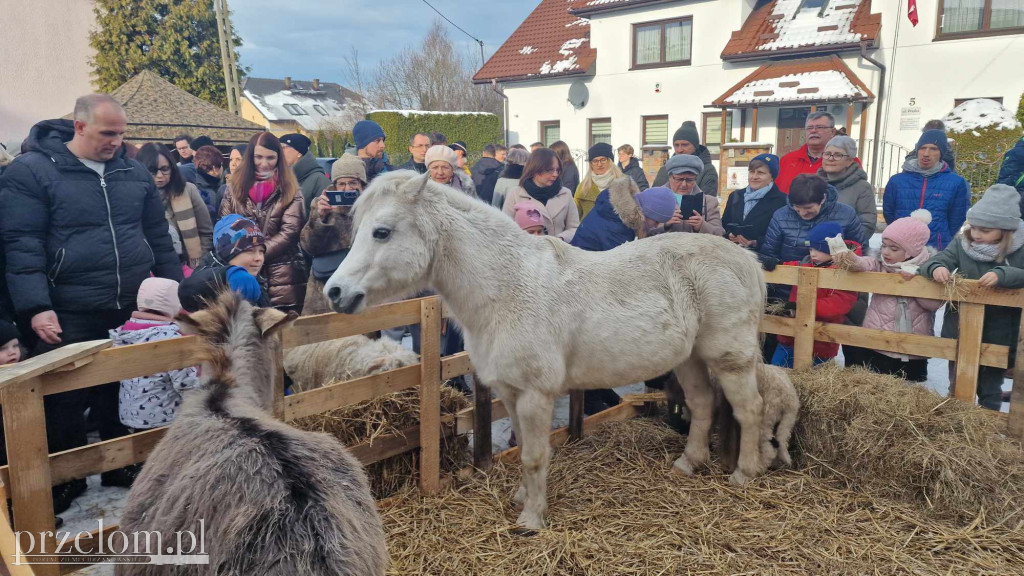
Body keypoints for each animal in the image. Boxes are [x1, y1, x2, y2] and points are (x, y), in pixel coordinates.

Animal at [323, 171, 765, 528]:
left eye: (382, 232)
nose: (335, 292)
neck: (506, 288)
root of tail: (746, 259)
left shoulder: (535, 395)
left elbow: (535, 455)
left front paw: (531, 519)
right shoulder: (509, 393)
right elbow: (522, 449)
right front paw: (521, 497)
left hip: (730, 360)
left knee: (748, 410)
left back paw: (746, 473)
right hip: (689, 358)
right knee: (703, 403)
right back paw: (688, 463)